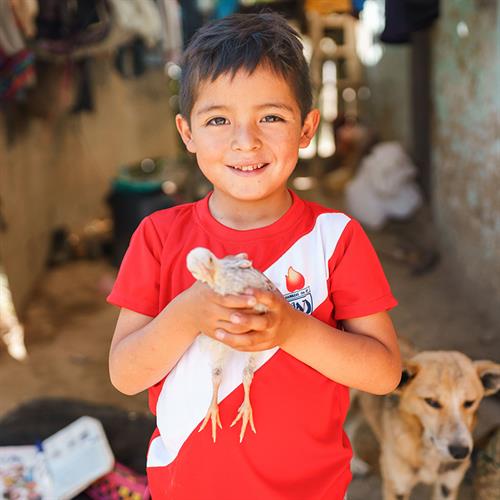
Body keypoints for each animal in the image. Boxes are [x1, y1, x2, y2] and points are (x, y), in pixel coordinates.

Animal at [352, 350, 500, 498]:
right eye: (432, 402)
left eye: (469, 402)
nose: (461, 452)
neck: (429, 451)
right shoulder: (397, 488)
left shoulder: (447, 486)